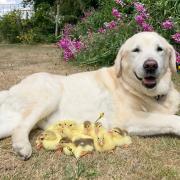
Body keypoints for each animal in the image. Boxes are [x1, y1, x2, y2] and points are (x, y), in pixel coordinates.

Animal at [0, 31, 180, 160]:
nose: (150, 65)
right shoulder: (129, 118)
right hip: (50, 93)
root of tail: (11, 89)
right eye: (136, 50)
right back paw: (22, 146)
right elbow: (171, 119)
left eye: (159, 49)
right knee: (21, 126)